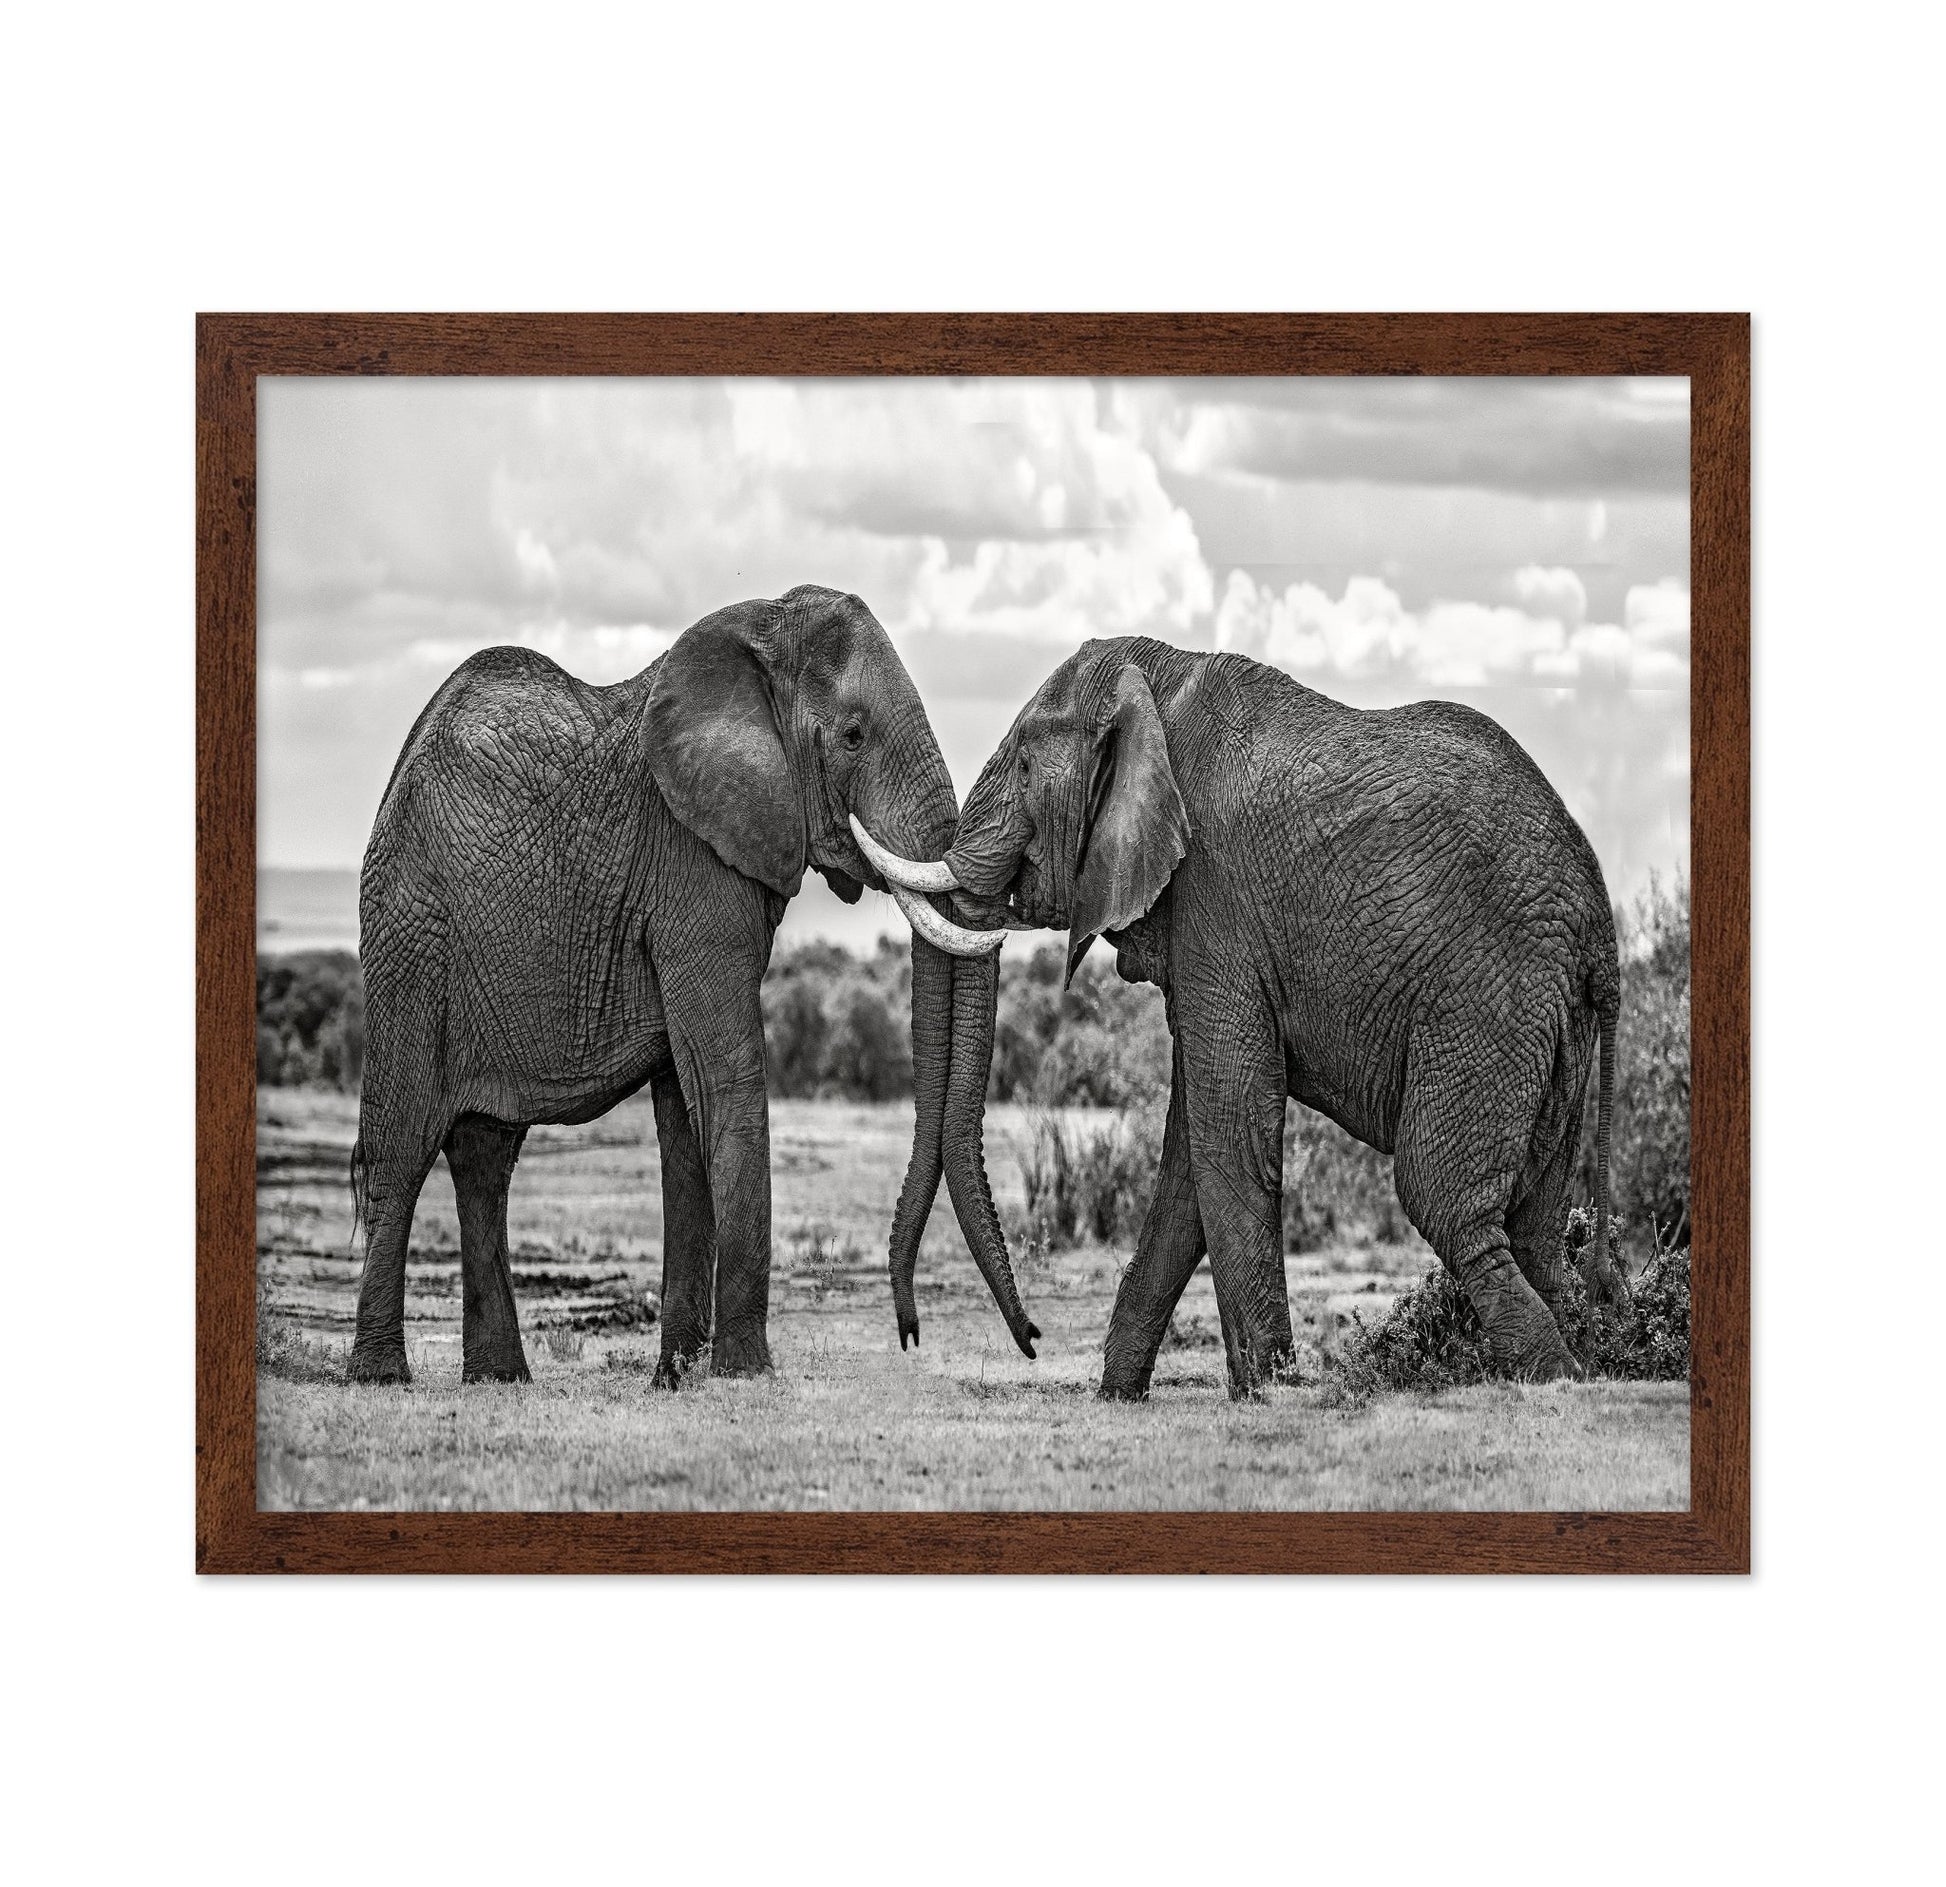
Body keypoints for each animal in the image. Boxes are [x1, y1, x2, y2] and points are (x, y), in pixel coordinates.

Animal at [345, 585, 1037, 1387]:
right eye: (854, 734)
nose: (911, 1334)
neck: (762, 632)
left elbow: (686, 1104)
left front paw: (676, 1378)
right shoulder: (691, 862)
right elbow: (723, 1073)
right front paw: (745, 1372)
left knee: (484, 1158)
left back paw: (499, 1379)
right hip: (410, 936)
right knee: (403, 1147)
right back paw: (381, 1375)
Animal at [863, 635, 1623, 1398]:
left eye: (1023, 764)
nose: (1033, 1339)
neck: (1154, 685)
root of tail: (1600, 922)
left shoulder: (1216, 897)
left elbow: (1227, 1126)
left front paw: (1268, 1392)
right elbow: (1188, 1155)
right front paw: (1120, 1395)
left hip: (1488, 998)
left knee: (1444, 1200)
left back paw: (1556, 1377)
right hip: (1553, 1023)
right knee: (1536, 1220)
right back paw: (1570, 1360)